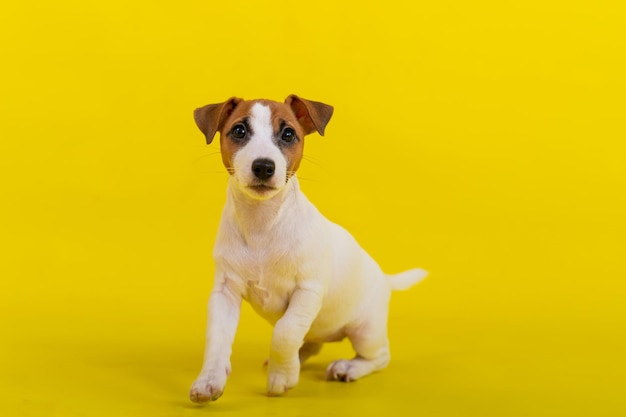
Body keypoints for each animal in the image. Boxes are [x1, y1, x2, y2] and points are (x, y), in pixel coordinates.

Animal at [188, 94, 426, 400]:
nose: (263, 166)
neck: (262, 223)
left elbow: (285, 332)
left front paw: (282, 377)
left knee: (379, 356)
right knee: (311, 342)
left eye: (288, 134)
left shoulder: (308, 291)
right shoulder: (225, 292)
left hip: (366, 329)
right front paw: (209, 380)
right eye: (239, 131)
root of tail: (385, 279)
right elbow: (217, 339)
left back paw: (348, 367)